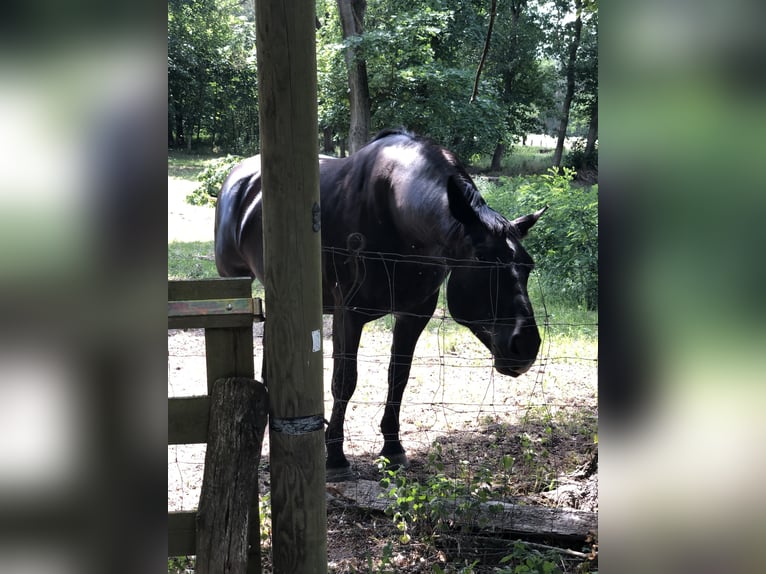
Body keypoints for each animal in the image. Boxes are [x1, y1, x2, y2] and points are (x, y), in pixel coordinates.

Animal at [214, 128, 545, 481]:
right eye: (483, 261)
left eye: (528, 265)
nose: (525, 345)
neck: (396, 217)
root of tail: (238, 177)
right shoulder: (348, 315)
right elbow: (344, 381)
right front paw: (335, 457)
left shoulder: (414, 314)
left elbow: (398, 377)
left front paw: (392, 447)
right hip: (234, 281)